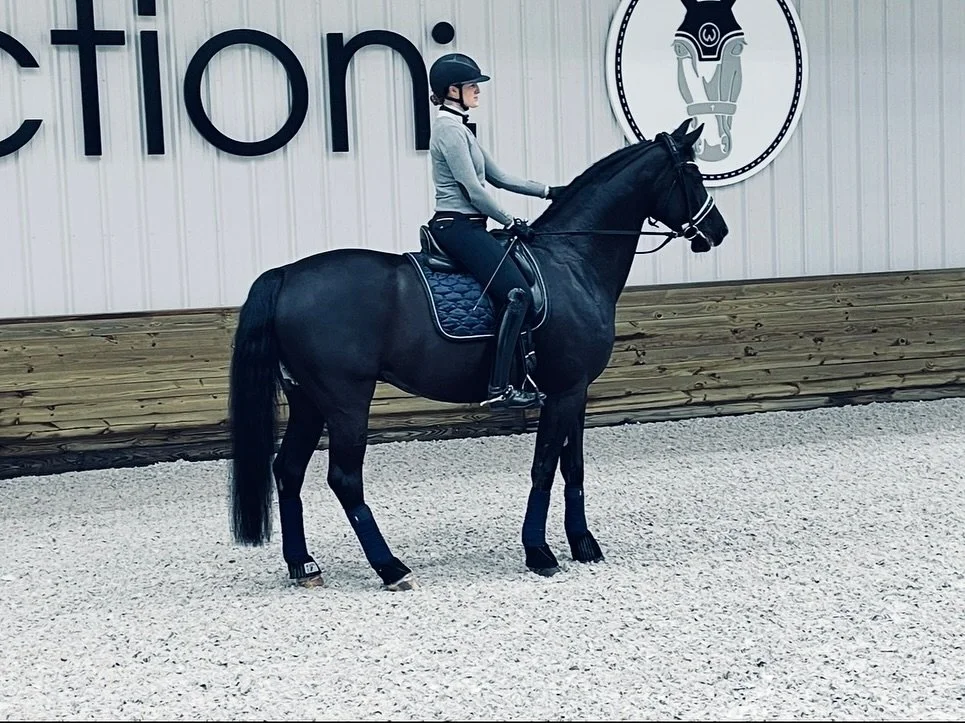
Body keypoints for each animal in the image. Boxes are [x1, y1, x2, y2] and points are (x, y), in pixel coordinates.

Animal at [227, 119, 729, 590]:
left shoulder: (576, 391)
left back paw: (303, 565)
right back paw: (391, 568)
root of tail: (287, 274)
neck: (572, 260)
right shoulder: (565, 391)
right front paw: (539, 552)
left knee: (288, 470)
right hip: (346, 399)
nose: (718, 231)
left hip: (308, 400)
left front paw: (584, 544)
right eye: (693, 173)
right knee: (344, 479)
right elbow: (545, 466)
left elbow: (574, 467)